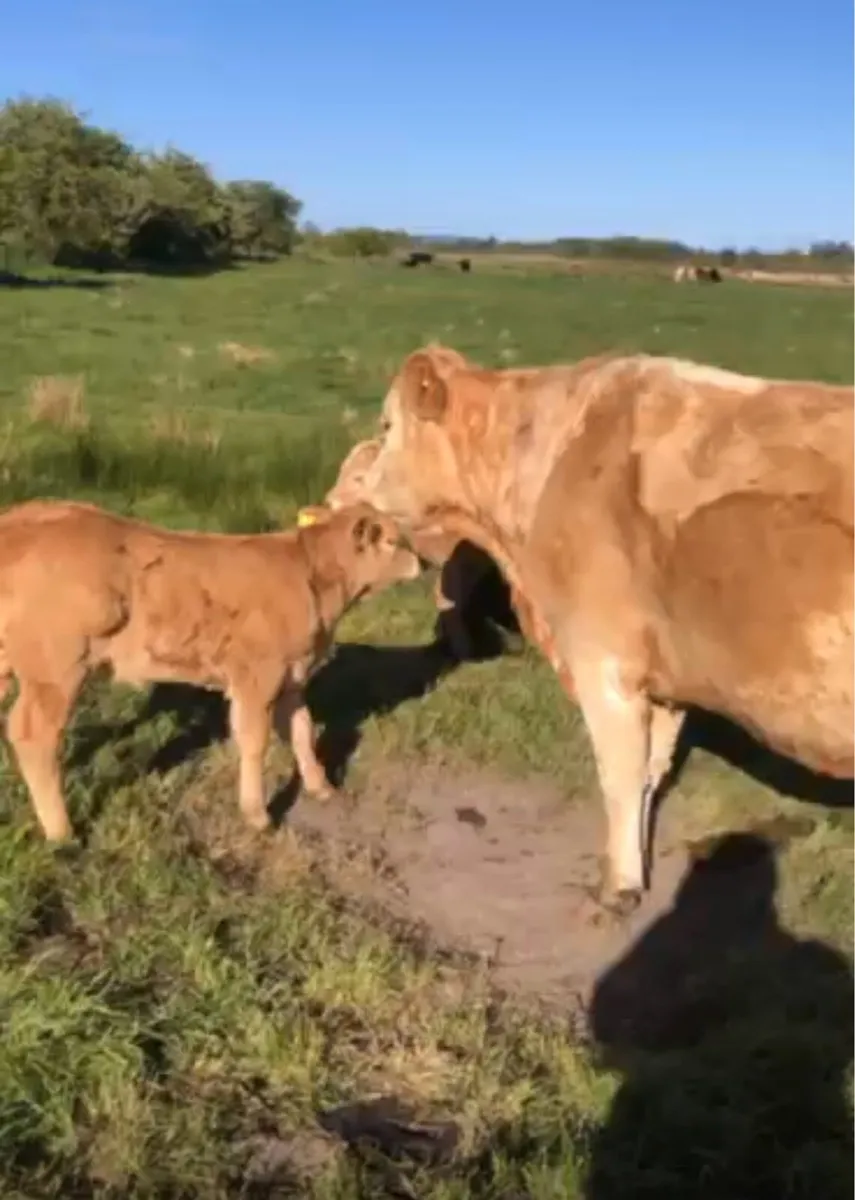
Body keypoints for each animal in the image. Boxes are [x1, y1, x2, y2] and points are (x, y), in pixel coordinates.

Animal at [0, 499, 420, 841]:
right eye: (394, 541)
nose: (423, 561)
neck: (311, 575)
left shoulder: (292, 677)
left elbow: (302, 730)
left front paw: (320, 787)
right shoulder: (257, 676)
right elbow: (254, 741)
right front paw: (257, 815)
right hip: (56, 668)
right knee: (32, 736)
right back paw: (61, 832)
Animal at [356, 343, 854, 914]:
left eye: (386, 423)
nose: (362, 488)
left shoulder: (603, 663)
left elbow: (620, 776)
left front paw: (619, 886)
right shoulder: (663, 682)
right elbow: (650, 773)